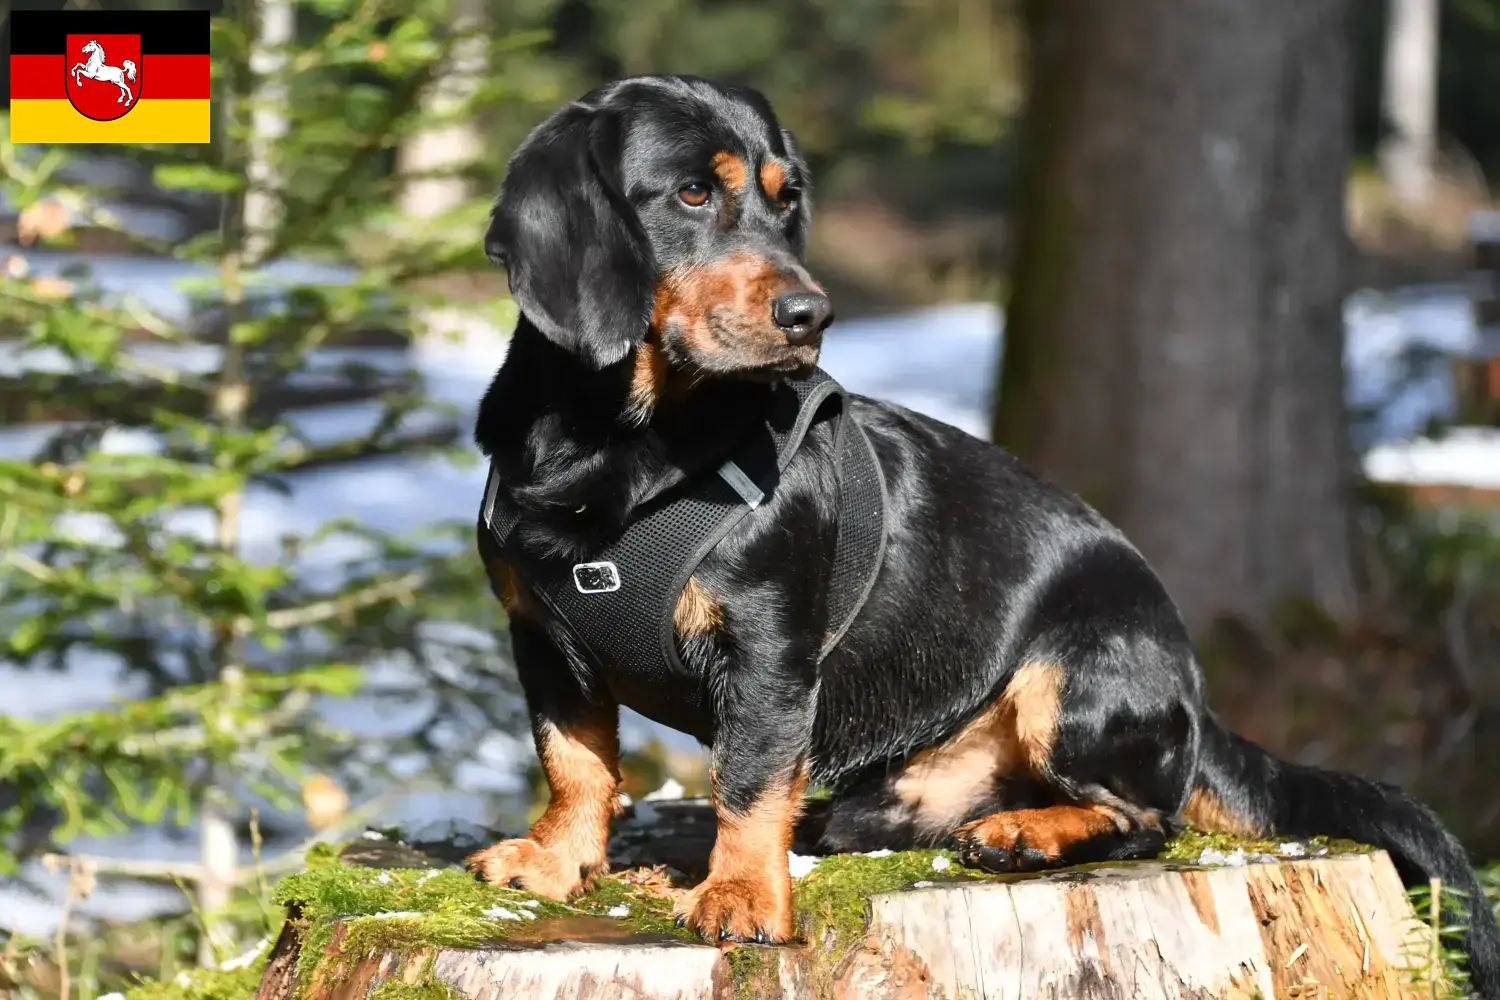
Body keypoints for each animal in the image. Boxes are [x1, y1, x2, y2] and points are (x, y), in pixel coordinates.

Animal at [471, 76, 1500, 995]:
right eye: (691, 192)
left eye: (785, 197)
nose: (812, 316)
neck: (623, 448)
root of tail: (1197, 706)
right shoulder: (543, 642)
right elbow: (575, 763)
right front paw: (557, 863)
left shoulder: (768, 649)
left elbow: (750, 780)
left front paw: (741, 896)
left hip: (1075, 679)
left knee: (1145, 816)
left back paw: (1026, 832)